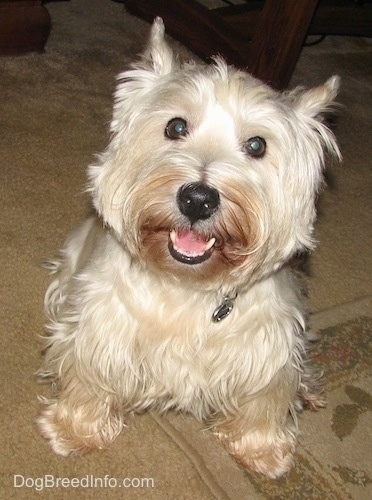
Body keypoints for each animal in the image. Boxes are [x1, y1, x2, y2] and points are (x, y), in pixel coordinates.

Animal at [38, 18, 340, 476]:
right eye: (176, 126)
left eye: (257, 145)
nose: (198, 199)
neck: (189, 286)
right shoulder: (98, 328)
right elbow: (86, 377)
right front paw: (73, 432)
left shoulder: (270, 347)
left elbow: (266, 399)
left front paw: (263, 452)